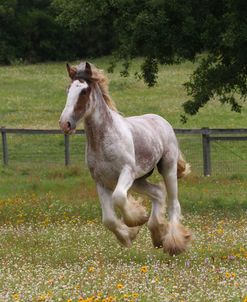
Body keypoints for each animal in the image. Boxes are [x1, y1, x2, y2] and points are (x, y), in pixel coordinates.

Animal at [58, 61, 192, 255]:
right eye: (68, 89)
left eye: (84, 91)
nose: (65, 124)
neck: (104, 141)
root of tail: (161, 120)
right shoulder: (101, 181)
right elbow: (108, 219)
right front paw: (129, 234)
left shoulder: (126, 172)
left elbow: (120, 197)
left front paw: (136, 219)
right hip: (139, 180)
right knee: (158, 193)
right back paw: (157, 236)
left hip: (167, 167)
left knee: (174, 204)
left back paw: (174, 243)